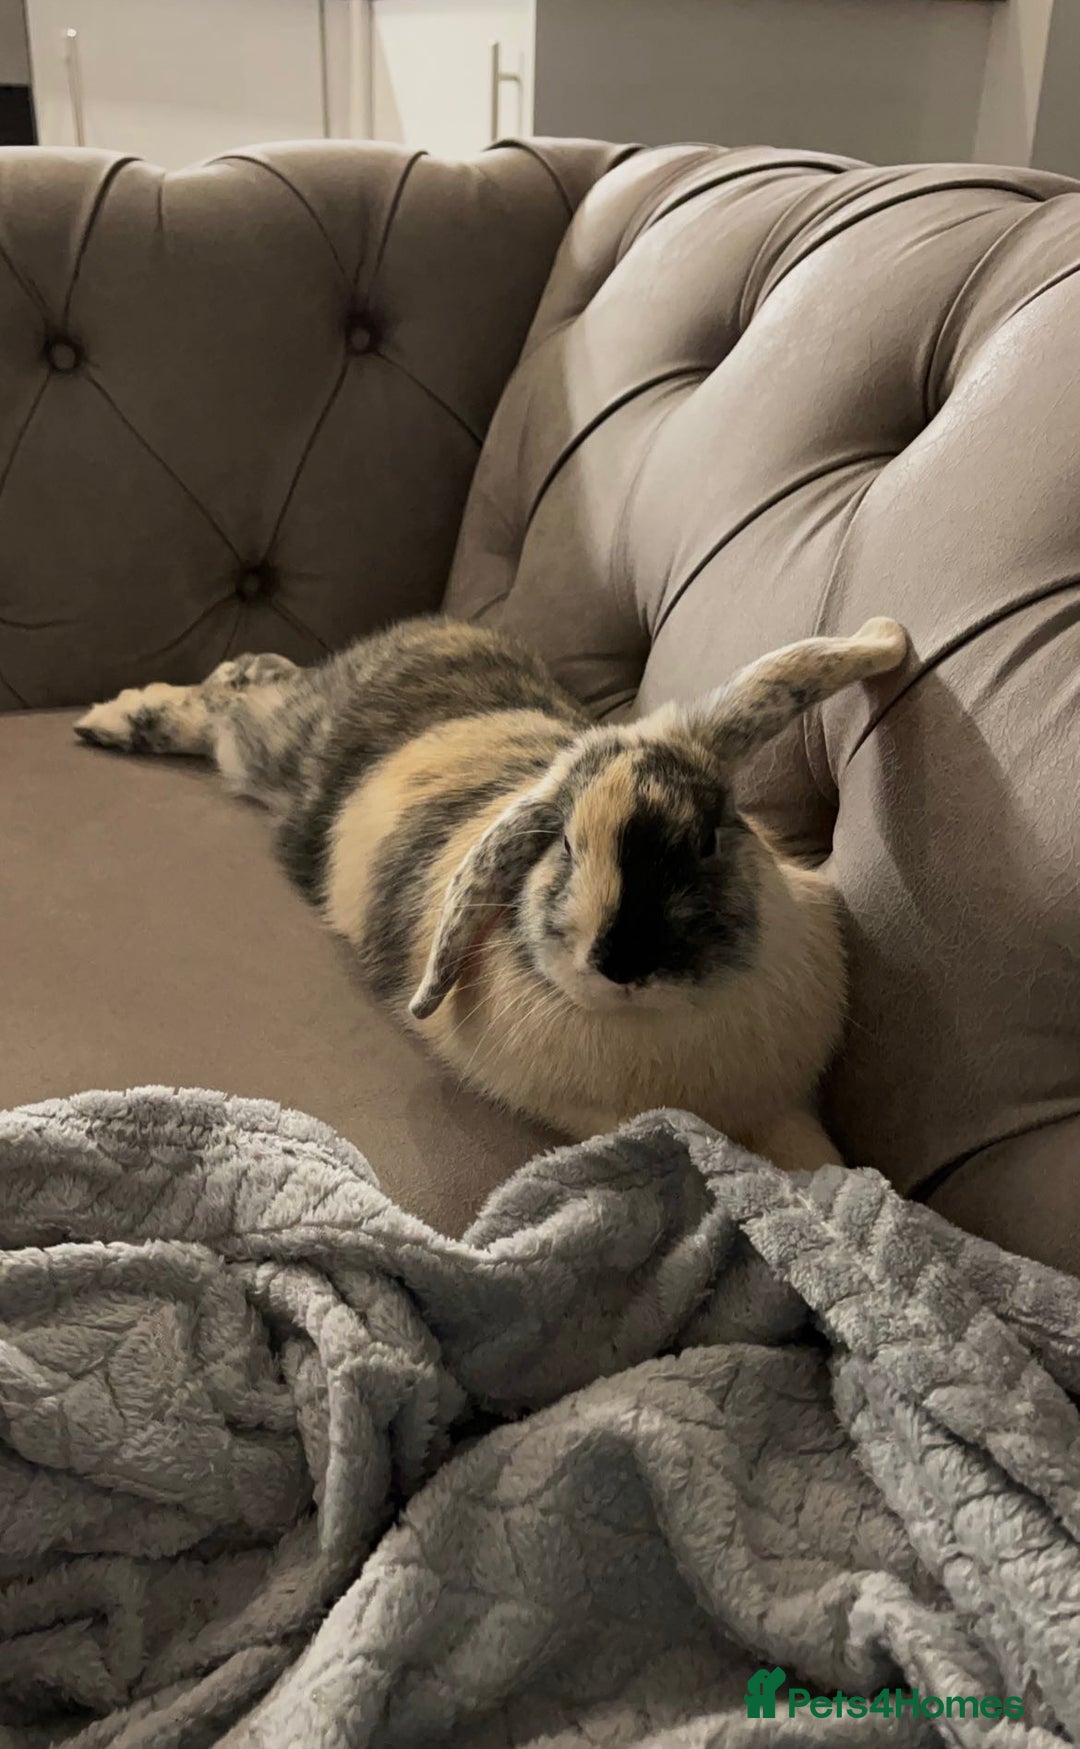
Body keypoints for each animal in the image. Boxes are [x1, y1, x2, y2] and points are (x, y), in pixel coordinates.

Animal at [74, 613, 908, 1172]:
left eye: (706, 838)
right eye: (564, 845)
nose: (623, 961)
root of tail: (431, 627)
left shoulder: (787, 1103)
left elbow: (820, 1158)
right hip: (272, 746)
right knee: (225, 699)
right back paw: (108, 718)